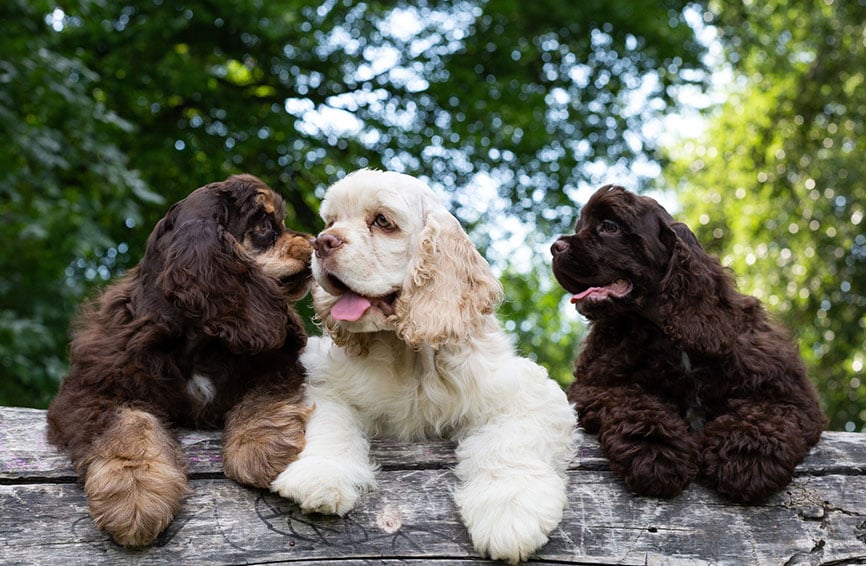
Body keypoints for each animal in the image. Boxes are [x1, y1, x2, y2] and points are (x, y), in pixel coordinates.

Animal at [44, 175, 314, 548]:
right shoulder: (92, 388)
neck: (198, 338)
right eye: (263, 225)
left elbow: (263, 396)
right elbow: (129, 424)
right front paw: (135, 494)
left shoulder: (277, 362)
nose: (317, 243)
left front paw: (259, 447)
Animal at [270, 169, 576, 564]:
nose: (321, 243)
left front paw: (509, 513)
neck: (409, 355)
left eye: (382, 221)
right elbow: (330, 423)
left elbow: (510, 442)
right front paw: (320, 476)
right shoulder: (325, 379)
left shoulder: (526, 391)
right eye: (331, 222)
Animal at [552, 184, 828, 504]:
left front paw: (744, 459)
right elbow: (633, 400)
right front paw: (657, 452)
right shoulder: (594, 385)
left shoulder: (787, 391)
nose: (555, 247)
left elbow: (765, 414)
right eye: (580, 227)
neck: (670, 334)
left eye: (610, 227)